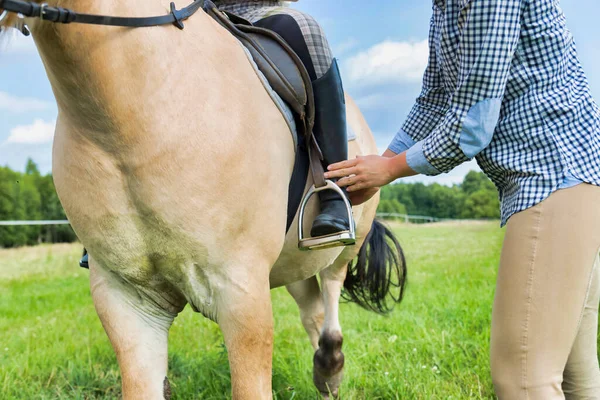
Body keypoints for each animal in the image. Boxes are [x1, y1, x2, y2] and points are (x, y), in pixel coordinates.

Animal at [1, 1, 408, 398]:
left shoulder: (241, 291)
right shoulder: (126, 298)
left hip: (341, 245)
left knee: (331, 290)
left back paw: (330, 363)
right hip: (291, 260)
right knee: (312, 308)